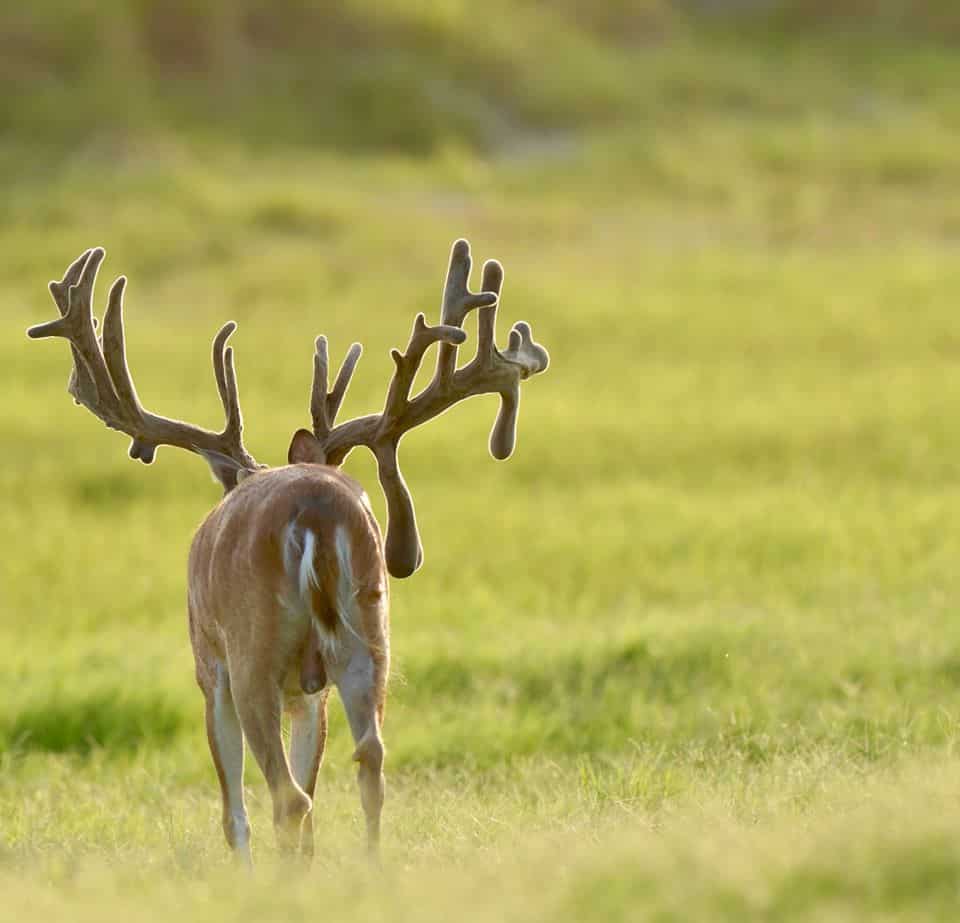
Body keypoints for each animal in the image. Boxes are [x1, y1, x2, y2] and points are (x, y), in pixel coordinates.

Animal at [27, 239, 549, 865]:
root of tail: (317, 511)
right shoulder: (308, 691)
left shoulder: (211, 664)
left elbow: (236, 808)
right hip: (367, 638)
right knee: (368, 762)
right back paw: (371, 869)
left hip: (254, 652)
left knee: (287, 797)